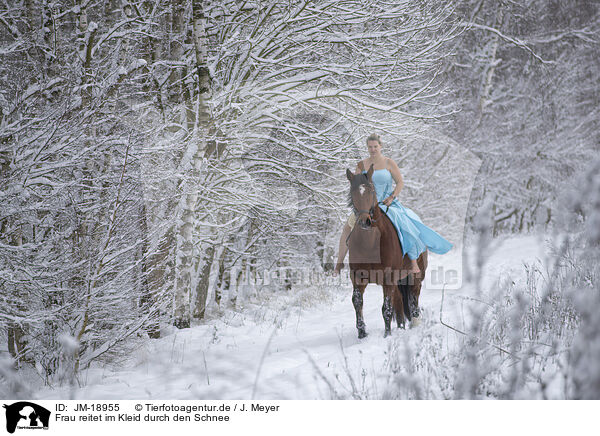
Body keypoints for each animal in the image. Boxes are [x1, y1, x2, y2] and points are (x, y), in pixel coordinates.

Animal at [344, 164, 424, 338]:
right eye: (353, 192)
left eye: (372, 190)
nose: (365, 221)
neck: (370, 242)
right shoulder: (358, 277)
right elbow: (357, 302)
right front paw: (362, 333)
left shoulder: (388, 278)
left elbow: (386, 308)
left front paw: (387, 335)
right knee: (400, 300)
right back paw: (400, 327)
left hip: (415, 276)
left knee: (414, 298)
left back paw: (415, 323)